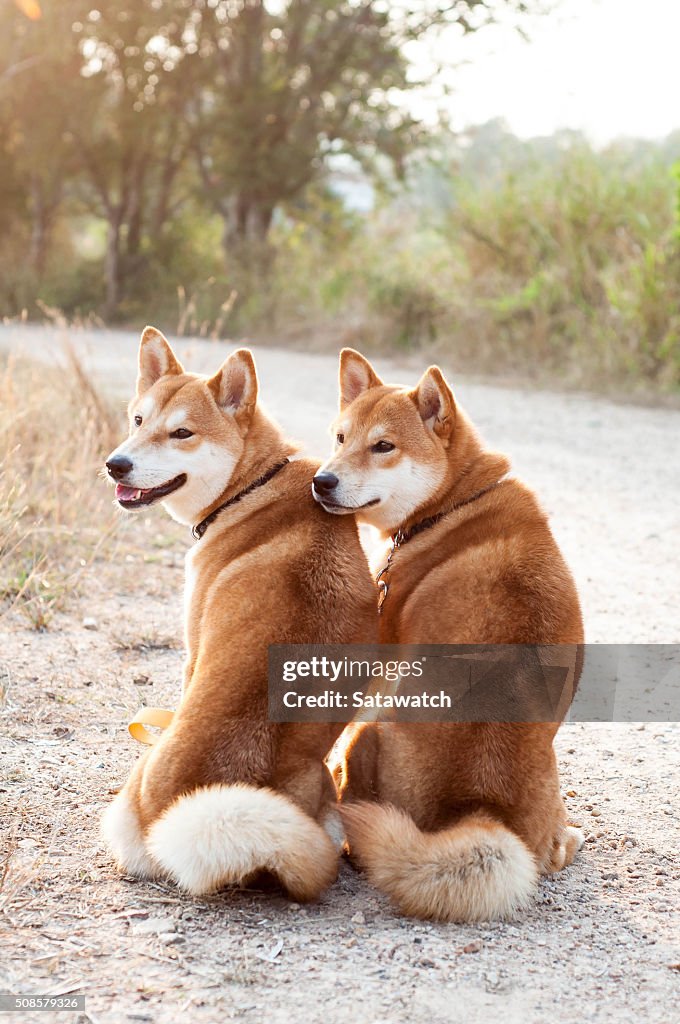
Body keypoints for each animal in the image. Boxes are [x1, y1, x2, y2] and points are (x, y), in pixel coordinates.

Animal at [313, 348, 585, 925]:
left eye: (383, 446)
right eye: (340, 438)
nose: (321, 481)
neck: (452, 503)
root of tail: (482, 806)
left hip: (368, 729)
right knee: (553, 850)